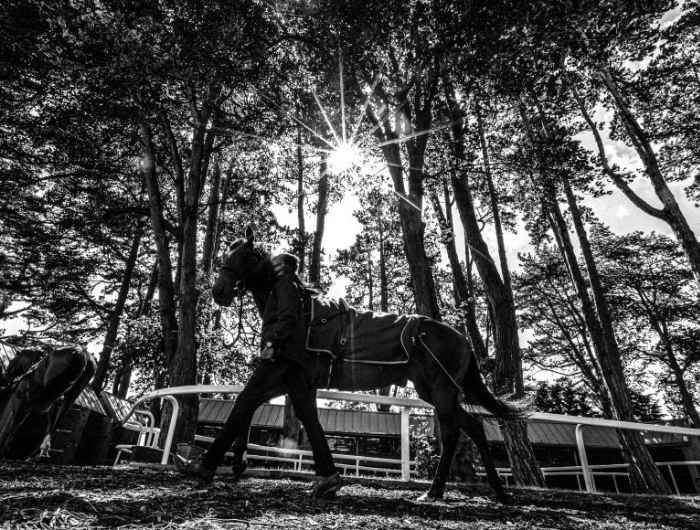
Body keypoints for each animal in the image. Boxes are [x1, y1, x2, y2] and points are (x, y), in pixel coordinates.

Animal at [211, 227, 516, 500]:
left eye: (245, 256)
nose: (219, 291)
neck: (301, 315)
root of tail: (462, 339)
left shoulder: (285, 372)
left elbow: (250, 402)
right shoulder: (290, 378)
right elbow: (255, 404)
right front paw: (238, 461)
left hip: (441, 390)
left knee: (453, 432)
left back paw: (435, 491)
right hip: (433, 391)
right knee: (473, 426)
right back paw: (492, 491)